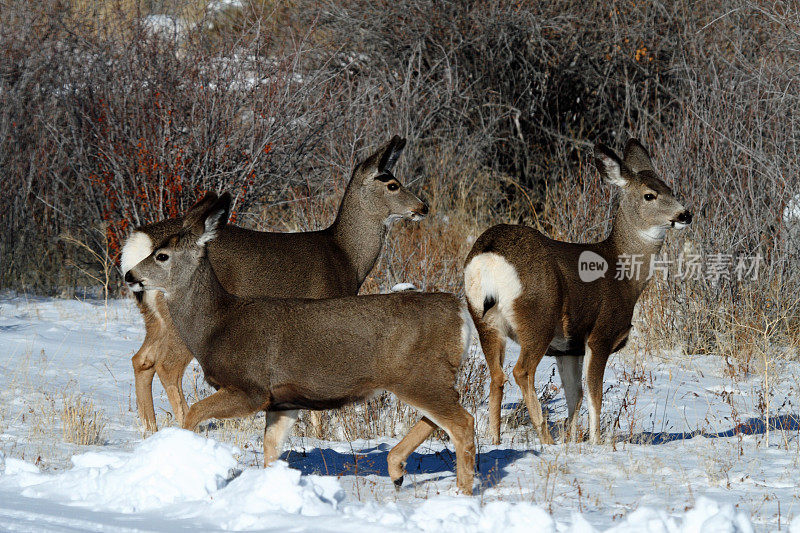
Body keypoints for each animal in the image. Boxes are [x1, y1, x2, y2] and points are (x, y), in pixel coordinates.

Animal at [119, 134, 428, 436]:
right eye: (393, 184)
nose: (423, 207)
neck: (345, 256)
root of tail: (138, 243)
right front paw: (318, 434)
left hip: (153, 316)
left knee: (141, 359)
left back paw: (149, 429)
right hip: (176, 320)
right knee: (167, 366)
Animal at [125, 191, 476, 494]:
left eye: (162, 255)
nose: (130, 275)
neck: (218, 323)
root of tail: (459, 312)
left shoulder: (251, 387)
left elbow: (192, 415)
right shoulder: (283, 401)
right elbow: (270, 449)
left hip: (419, 375)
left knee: (462, 422)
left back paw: (461, 490)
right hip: (426, 377)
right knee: (443, 416)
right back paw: (397, 470)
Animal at [466, 138, 692, 444]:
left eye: (670, 189)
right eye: (649, 195)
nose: (685, 214)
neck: (625, 273)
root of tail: (489, 256)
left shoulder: (568, 348)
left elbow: (576, 395)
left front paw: (572, 439)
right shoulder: (601, 334)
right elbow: (594, 394)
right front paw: (596, 441)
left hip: (484, 320)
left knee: (496, 377)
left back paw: (496, 440)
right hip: (539, 315)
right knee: (521, 371)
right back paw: (545, 439)